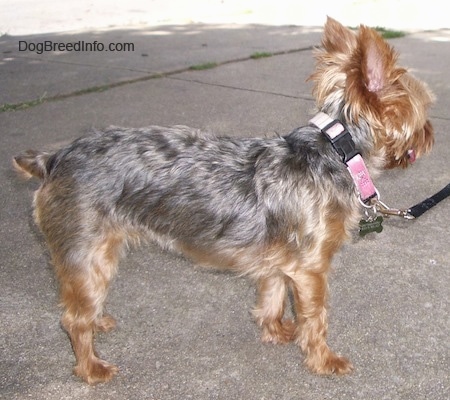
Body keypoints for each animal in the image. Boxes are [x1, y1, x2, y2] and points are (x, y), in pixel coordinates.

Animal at [14, 18, 434, 384]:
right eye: (426, 107)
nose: (430, 135)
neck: (336, 151)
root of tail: (54, 159)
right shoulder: (311, 269)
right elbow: (316, 317)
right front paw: (323, 360)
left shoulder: (280, 262)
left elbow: (272, 294)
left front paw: (276, 331)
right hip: (87, 248)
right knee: (72, 319)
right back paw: (91, 368)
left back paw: (98, 320)